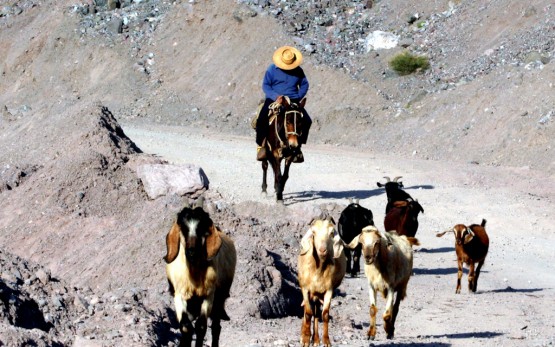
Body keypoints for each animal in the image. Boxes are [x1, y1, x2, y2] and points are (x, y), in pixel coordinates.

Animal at [163, 200, 237, 346]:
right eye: (183, 228)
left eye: (202, 228)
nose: (191, 252)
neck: (194, 274)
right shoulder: (179, 295)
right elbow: (185, 326)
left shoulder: (208, 295)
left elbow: (201, 326)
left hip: (219, 300)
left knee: (216, 327)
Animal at [298, 218, 346, 347]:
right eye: (313, 232)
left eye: (331, 233)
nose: (322, 250)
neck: (318, 271)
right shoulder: (305, 289)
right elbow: (308, 313)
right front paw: (305, 339)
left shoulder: (329, 290)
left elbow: (324, 314)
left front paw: (326, 340)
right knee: (309, 312)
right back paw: (305, 335)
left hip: (318, 295)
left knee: (316, 313)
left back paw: (316, 339)